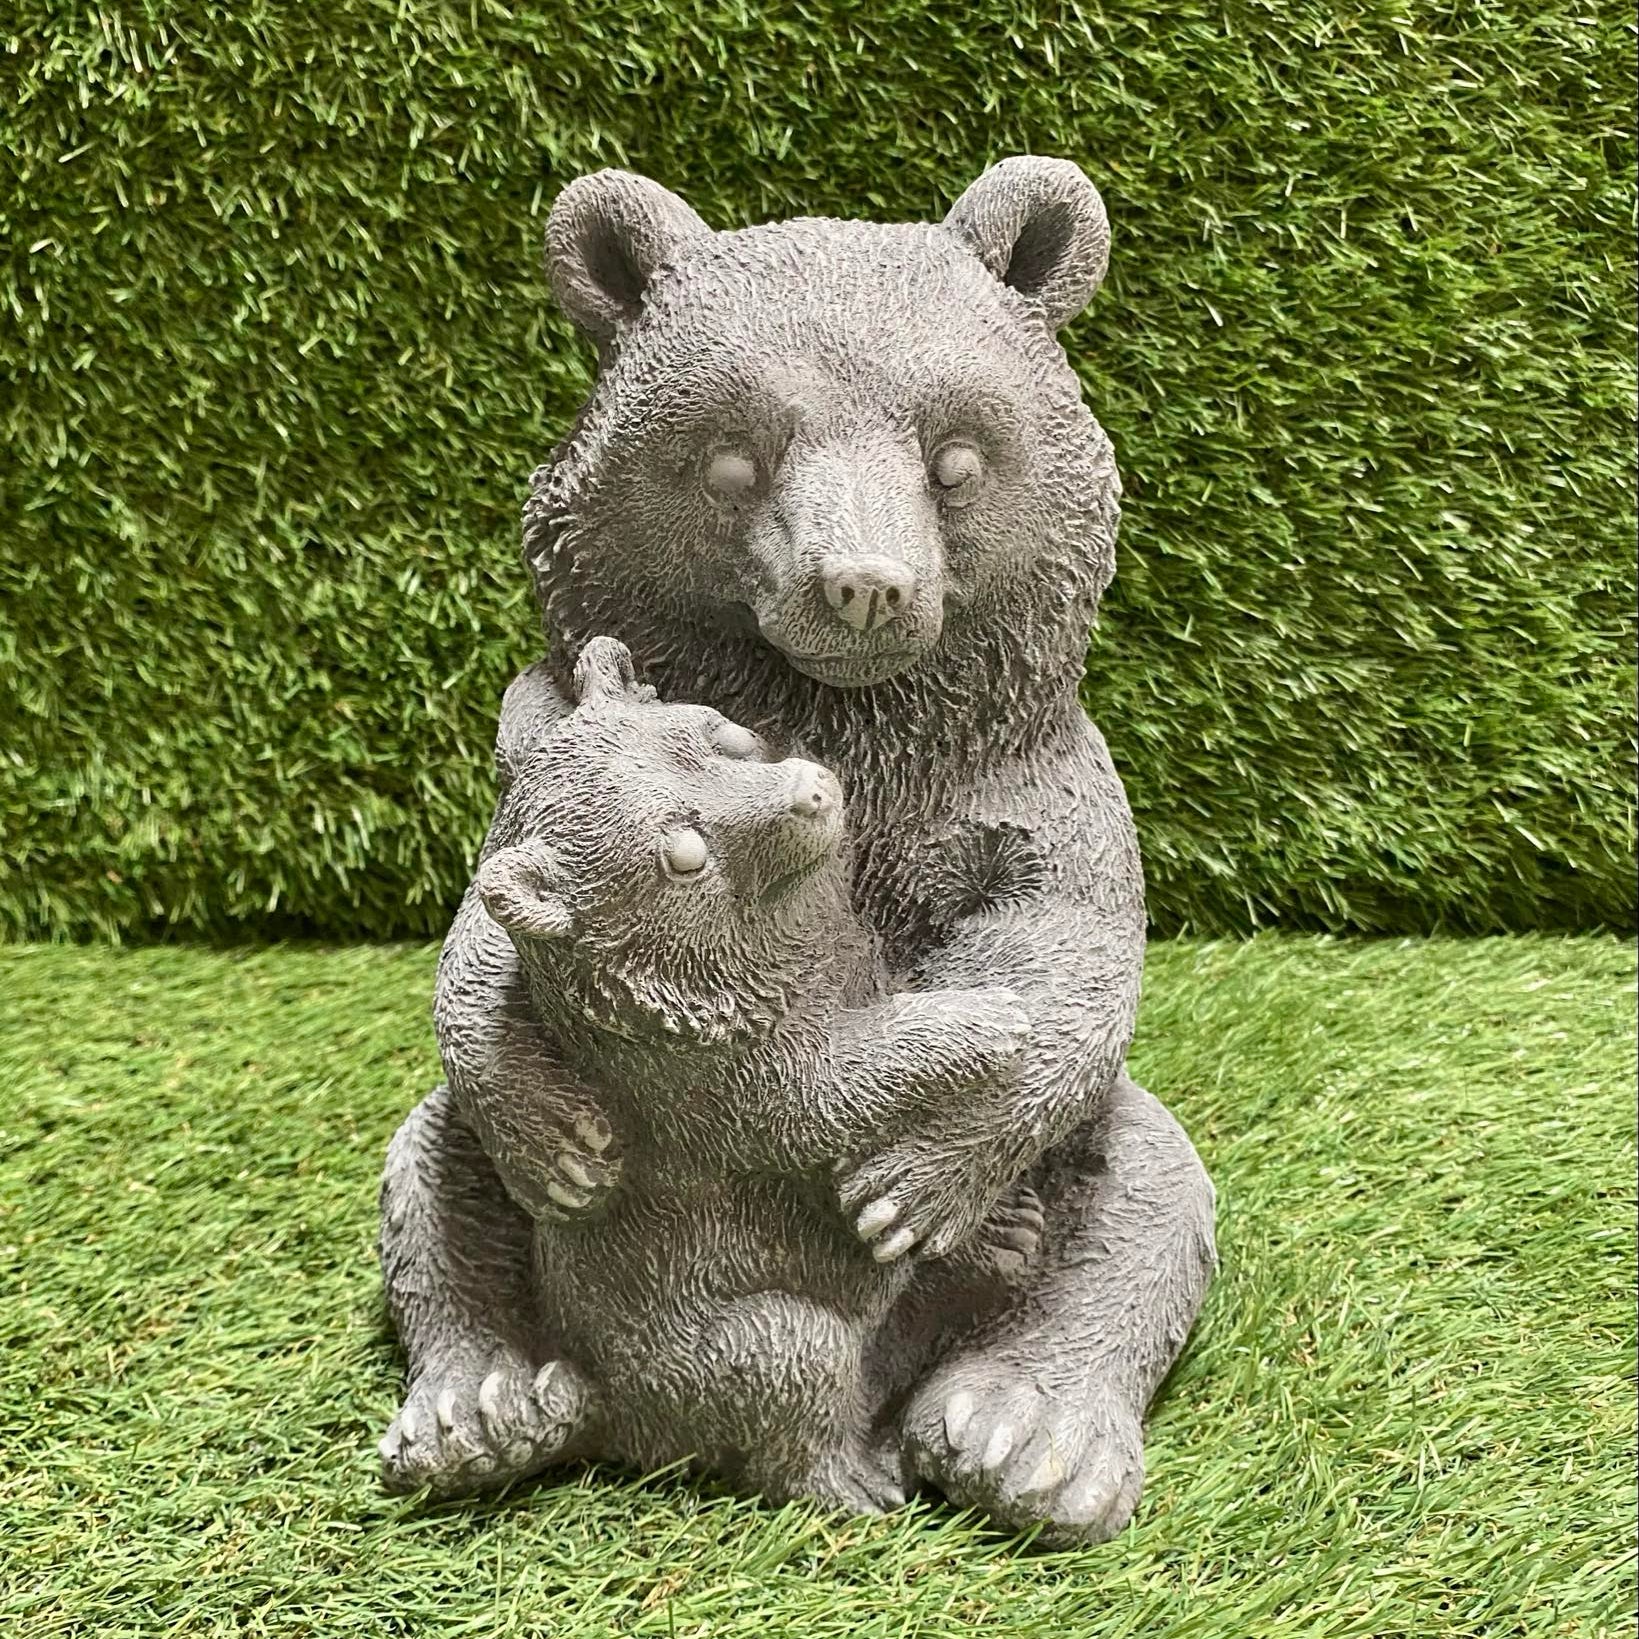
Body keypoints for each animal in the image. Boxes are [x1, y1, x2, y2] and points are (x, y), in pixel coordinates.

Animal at [379, 635, 1045, 1508]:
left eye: (721, 733)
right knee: (793, 1400)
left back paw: (1005, 1231)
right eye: (683, 855)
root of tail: (612, 1411)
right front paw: (990, 1017)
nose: (811, 791)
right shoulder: (720, 1089)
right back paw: (859, 1477)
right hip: (755, 1341)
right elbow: (832, 1086)